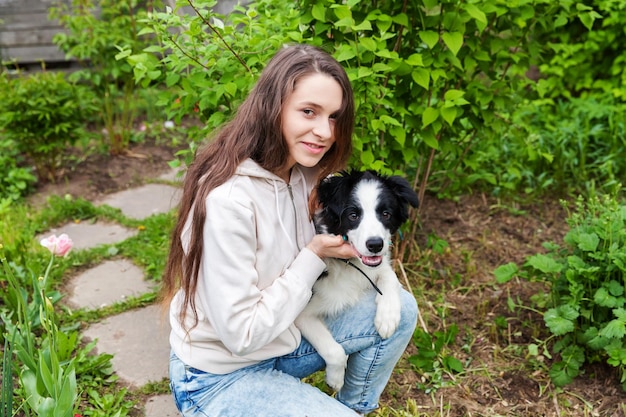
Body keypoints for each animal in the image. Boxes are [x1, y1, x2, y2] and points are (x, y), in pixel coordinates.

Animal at [294, 169, 420, 390]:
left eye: (385, 214)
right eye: (353, 215)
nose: (375, 245)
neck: (348, 265)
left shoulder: (378, 266)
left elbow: (389, 275)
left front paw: (387, 317)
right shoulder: (301, 314)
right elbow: (335, 350)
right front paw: (336, 379)